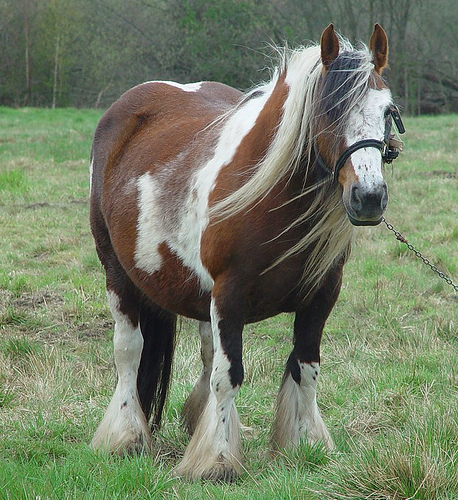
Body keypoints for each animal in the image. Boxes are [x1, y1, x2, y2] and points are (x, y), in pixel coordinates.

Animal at [88, 23, 404, 480]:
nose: (369, 198)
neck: (269, 198)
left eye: (387, 112)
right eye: (329, 112)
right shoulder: (229, 297)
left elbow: (306, 369)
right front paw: (217, 459)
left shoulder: (321, 297)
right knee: (129, 352)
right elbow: (228, 375)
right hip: (118, 274)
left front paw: (303, 445)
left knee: (203, 351)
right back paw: (126, 436)